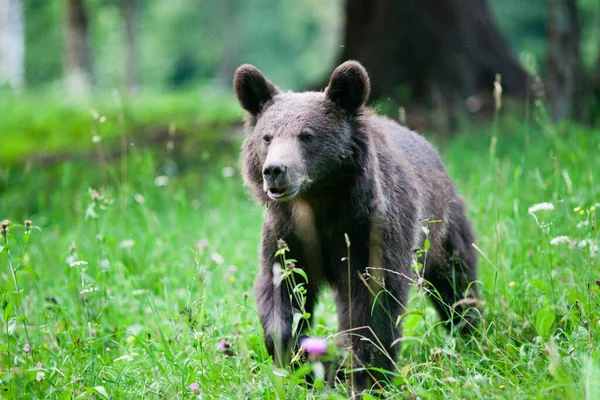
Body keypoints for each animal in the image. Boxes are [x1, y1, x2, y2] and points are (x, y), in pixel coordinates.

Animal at [232, 61, 480, 392]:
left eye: (306, 135)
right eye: (268, 136)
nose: (274, 170)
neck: (319, 203)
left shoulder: (369, 231)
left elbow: (374, 299)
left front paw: (366, 372)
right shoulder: (286, 233)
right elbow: (281, 286)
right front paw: (302, 358)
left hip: (441, 226)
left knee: (456, 281)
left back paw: (470, 330)